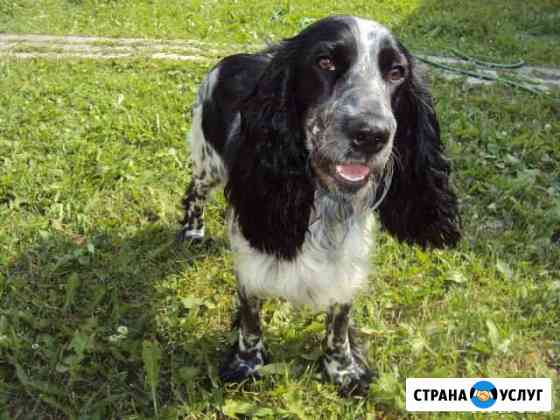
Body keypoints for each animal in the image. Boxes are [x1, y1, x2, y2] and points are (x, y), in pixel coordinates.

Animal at [178, 15, 460, 398]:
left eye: (396, 72)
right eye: (325, 62)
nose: (371, 134)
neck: (323, 200)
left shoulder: (348, 264)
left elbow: (339, 324)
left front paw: (343, 370)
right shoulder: (251, 261)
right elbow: (251, 319)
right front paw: (247, 365)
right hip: (209, 163)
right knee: (195, 190)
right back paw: (192, 231)